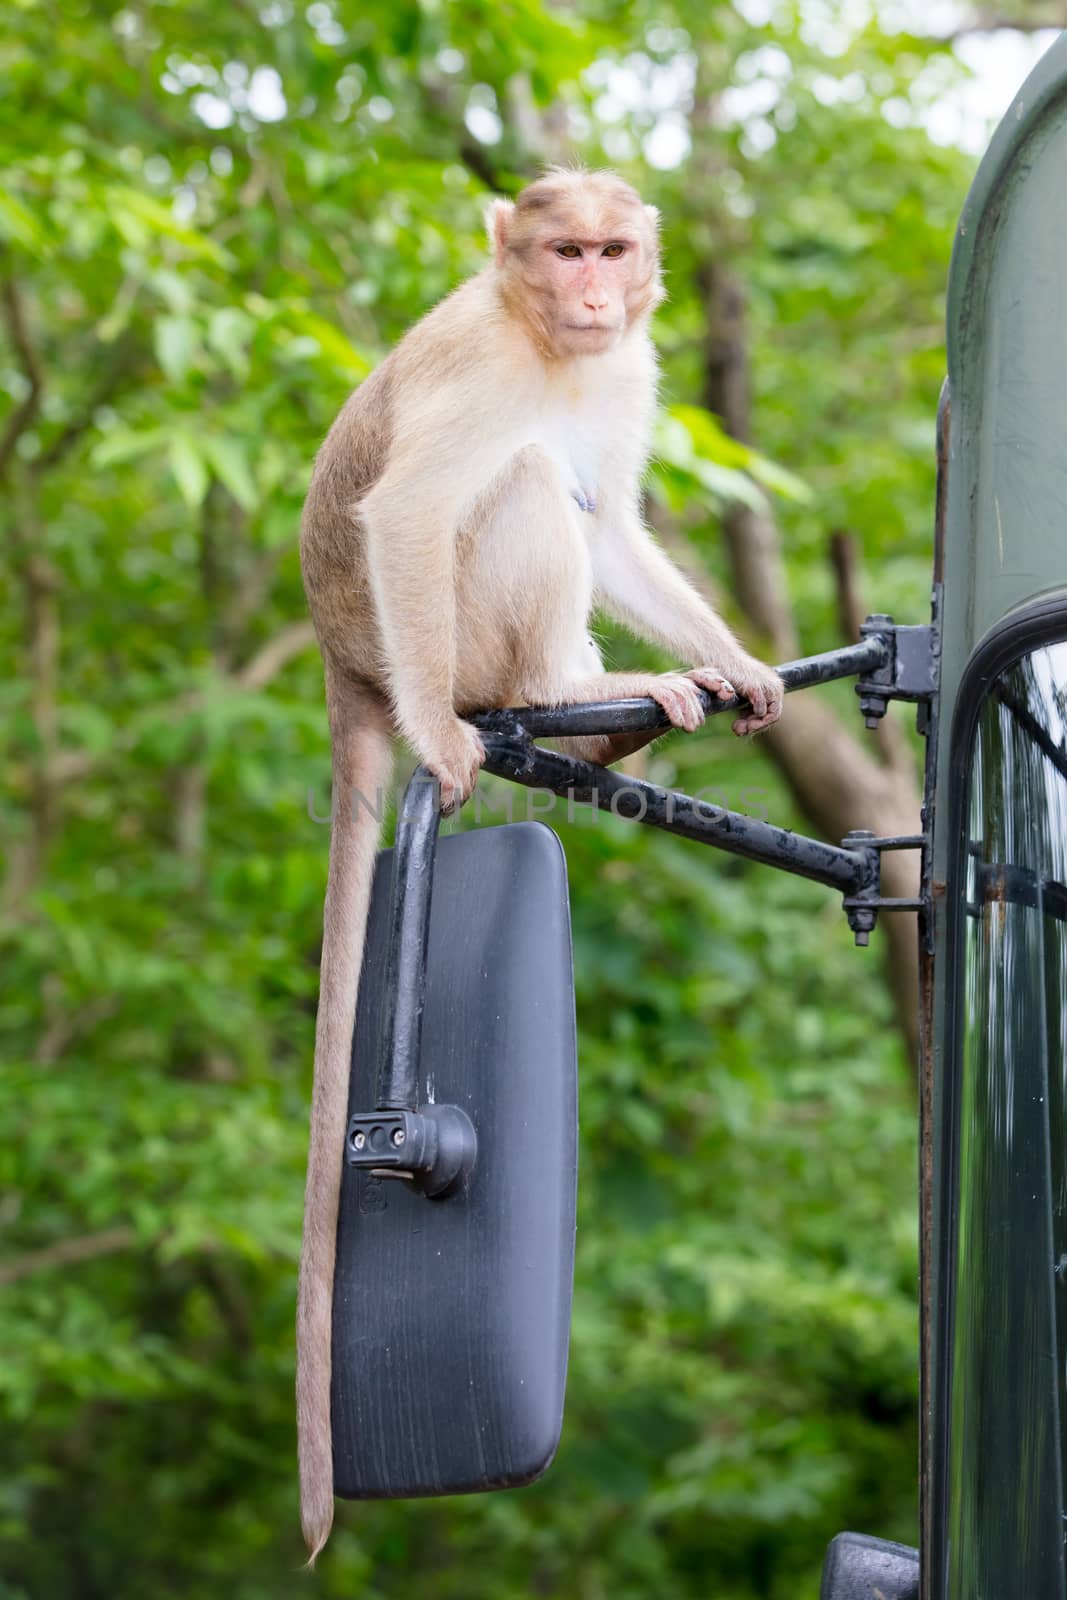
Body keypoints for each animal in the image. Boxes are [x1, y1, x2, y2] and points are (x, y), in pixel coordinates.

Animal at [299, 165, 783, 1561]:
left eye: (611, 250)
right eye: (563, 249)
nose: (593, 294)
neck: (546, 345)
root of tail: (346, 666)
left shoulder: (627, 369)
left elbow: (613, 523)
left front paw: (737, 658)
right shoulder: (474, 365)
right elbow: (413, 504)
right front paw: (439, 741)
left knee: (561, 493)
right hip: (452, 633)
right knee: (512, 480)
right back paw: (561, 694)